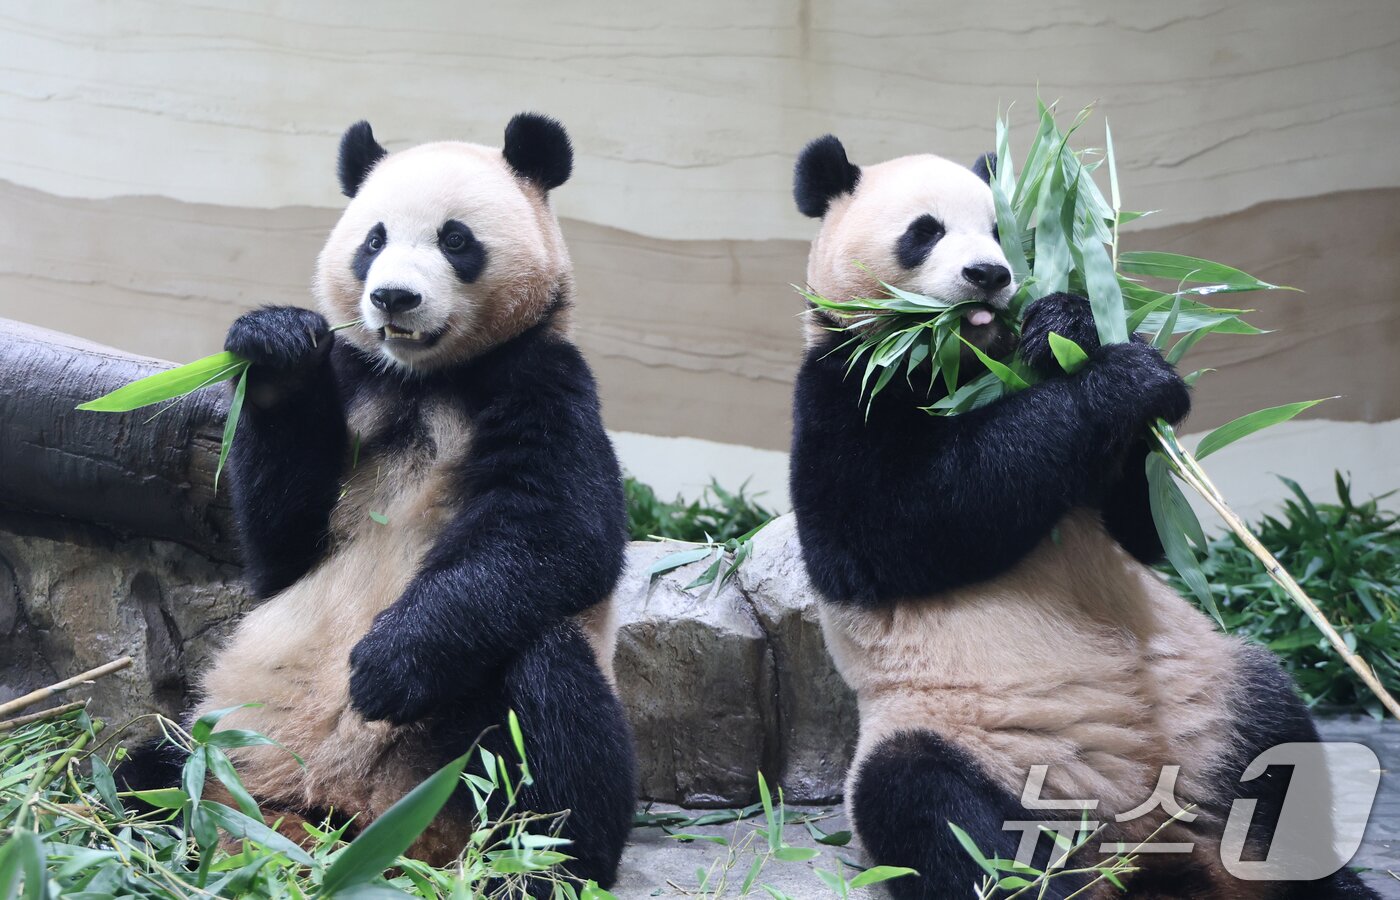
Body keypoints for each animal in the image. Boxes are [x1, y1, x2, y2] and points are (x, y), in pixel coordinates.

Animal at [187, 114, 635, 886]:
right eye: (374, 240)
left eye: (455, 239)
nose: (393, 297)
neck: (425, 381)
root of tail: (366, 824)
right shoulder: (356, 383)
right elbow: (280, 548)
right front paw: (276, 347)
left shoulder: (542, 382)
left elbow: (560, 532)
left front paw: (384, 668)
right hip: (234, 750)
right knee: (151, 773)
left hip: (471, 762)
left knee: (549, 686)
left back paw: (545, 867)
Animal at [788, 135, 1380, 899]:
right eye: (925, 232)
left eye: (1004, 229)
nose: (989, 274)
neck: (961, 358)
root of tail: (1136, 837)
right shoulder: (846, 383)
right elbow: (895, 529)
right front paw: (1116, 380)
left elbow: (1147, 529)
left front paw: (1074, 324)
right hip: (958, 735)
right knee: (941, 814)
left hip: (1212, 693)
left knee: (1277, 754)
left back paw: (1320, 880)